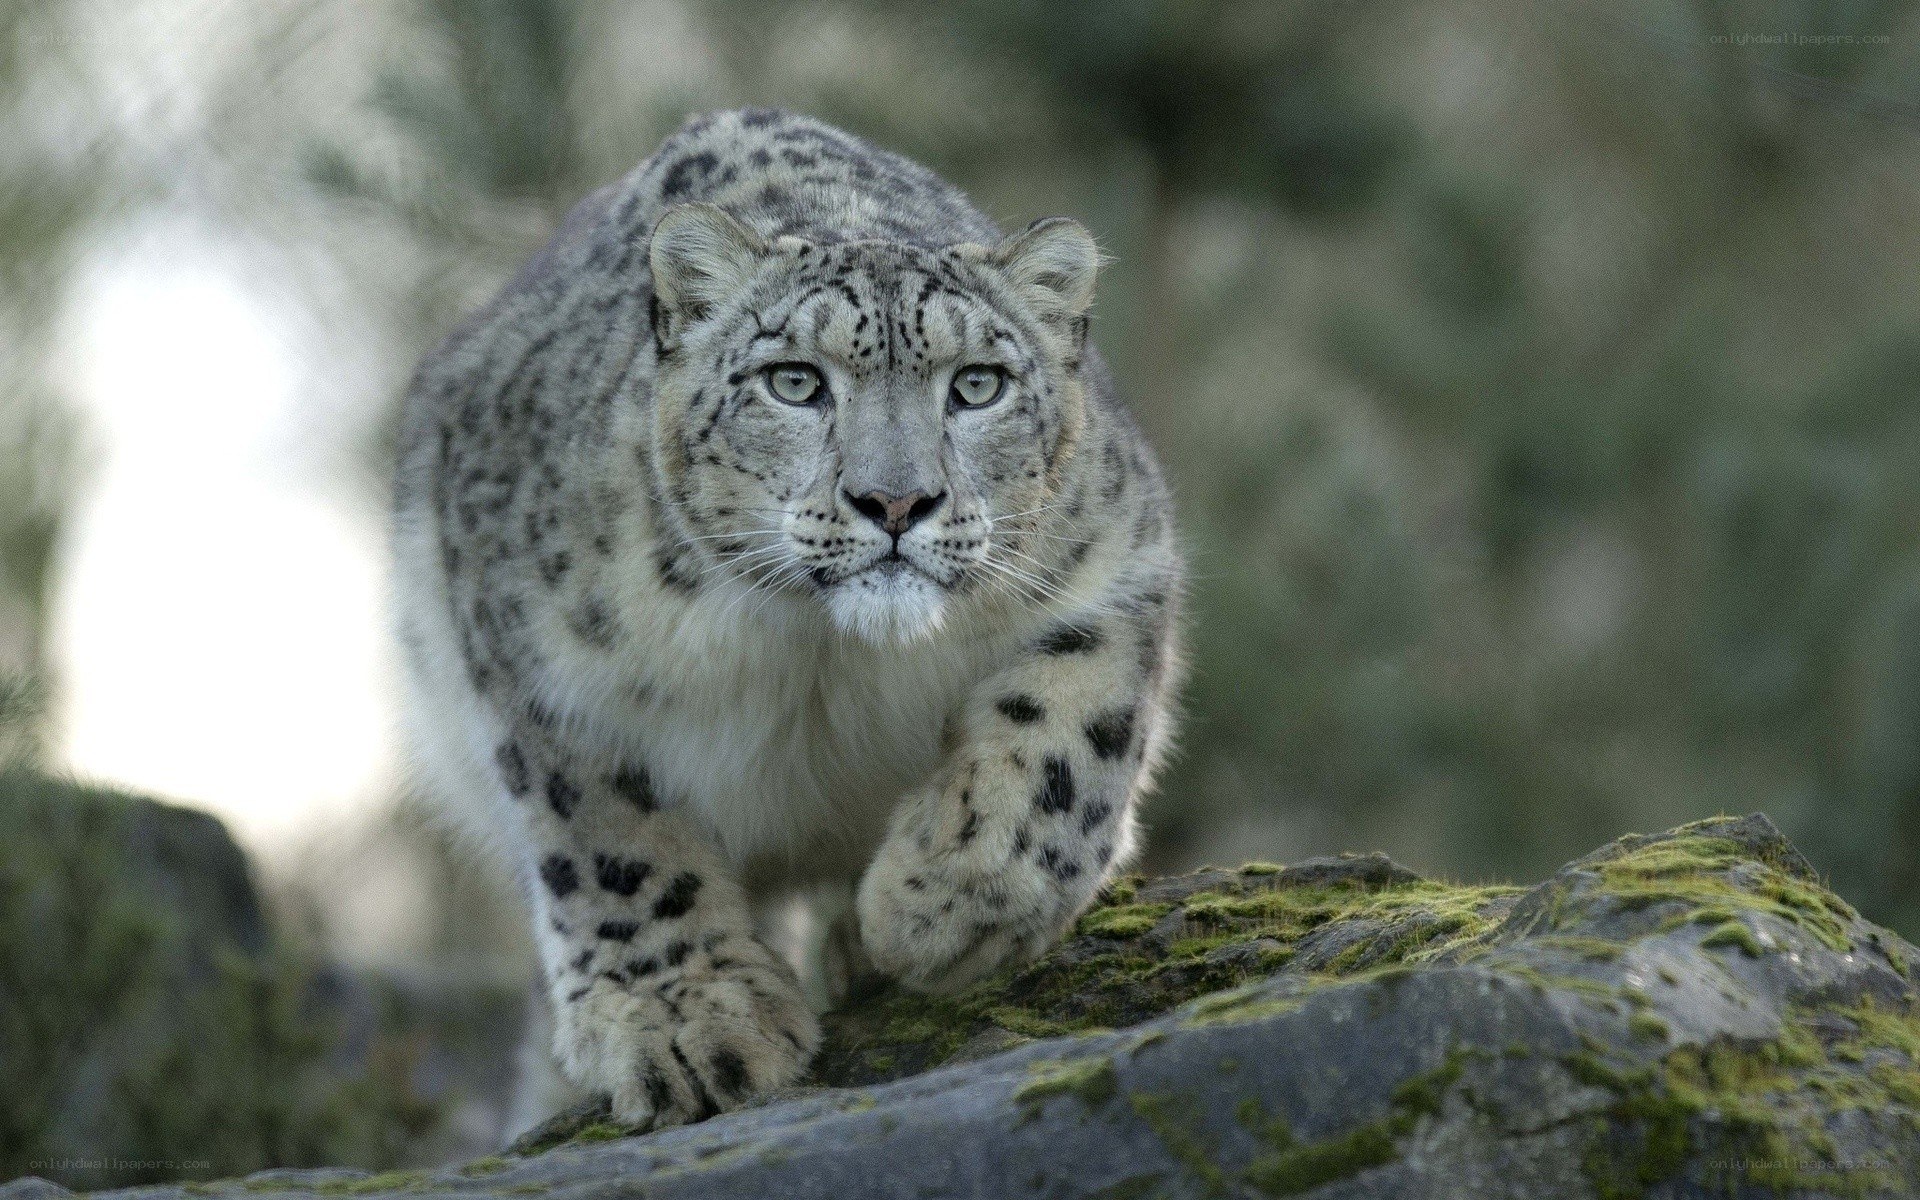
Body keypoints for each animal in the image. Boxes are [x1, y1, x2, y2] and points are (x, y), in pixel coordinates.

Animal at [391, 107, 1183, 1133]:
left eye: (977, 384)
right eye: (795, 382)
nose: (896, 501)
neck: (823, 655)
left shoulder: (1118, 564)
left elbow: (1065, 738)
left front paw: (942, 904)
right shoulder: (535, 657)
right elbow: (608, 837)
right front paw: (688, 1023)